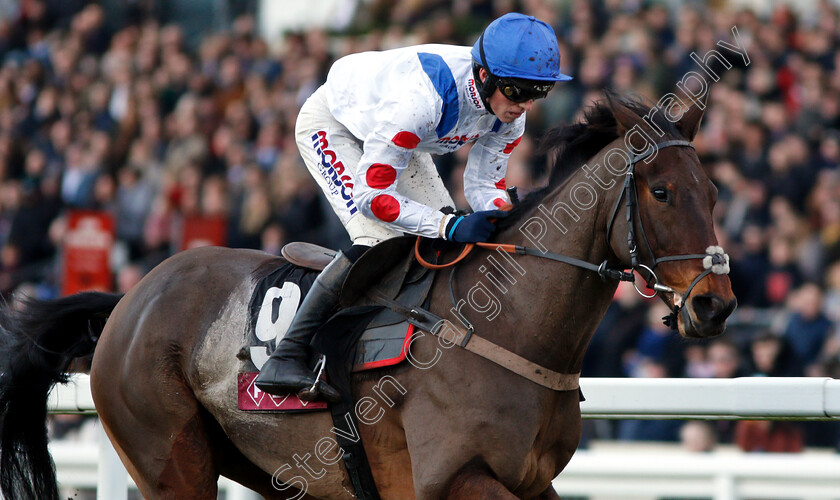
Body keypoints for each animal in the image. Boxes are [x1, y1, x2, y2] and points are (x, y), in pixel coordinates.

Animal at [0, 92, 736, 498]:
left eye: (713, 193)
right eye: (662, 192)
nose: (716, 304)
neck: (507, 331)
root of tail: (129, 300)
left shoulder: (533, 482)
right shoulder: (454, 480)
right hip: (170, 461)